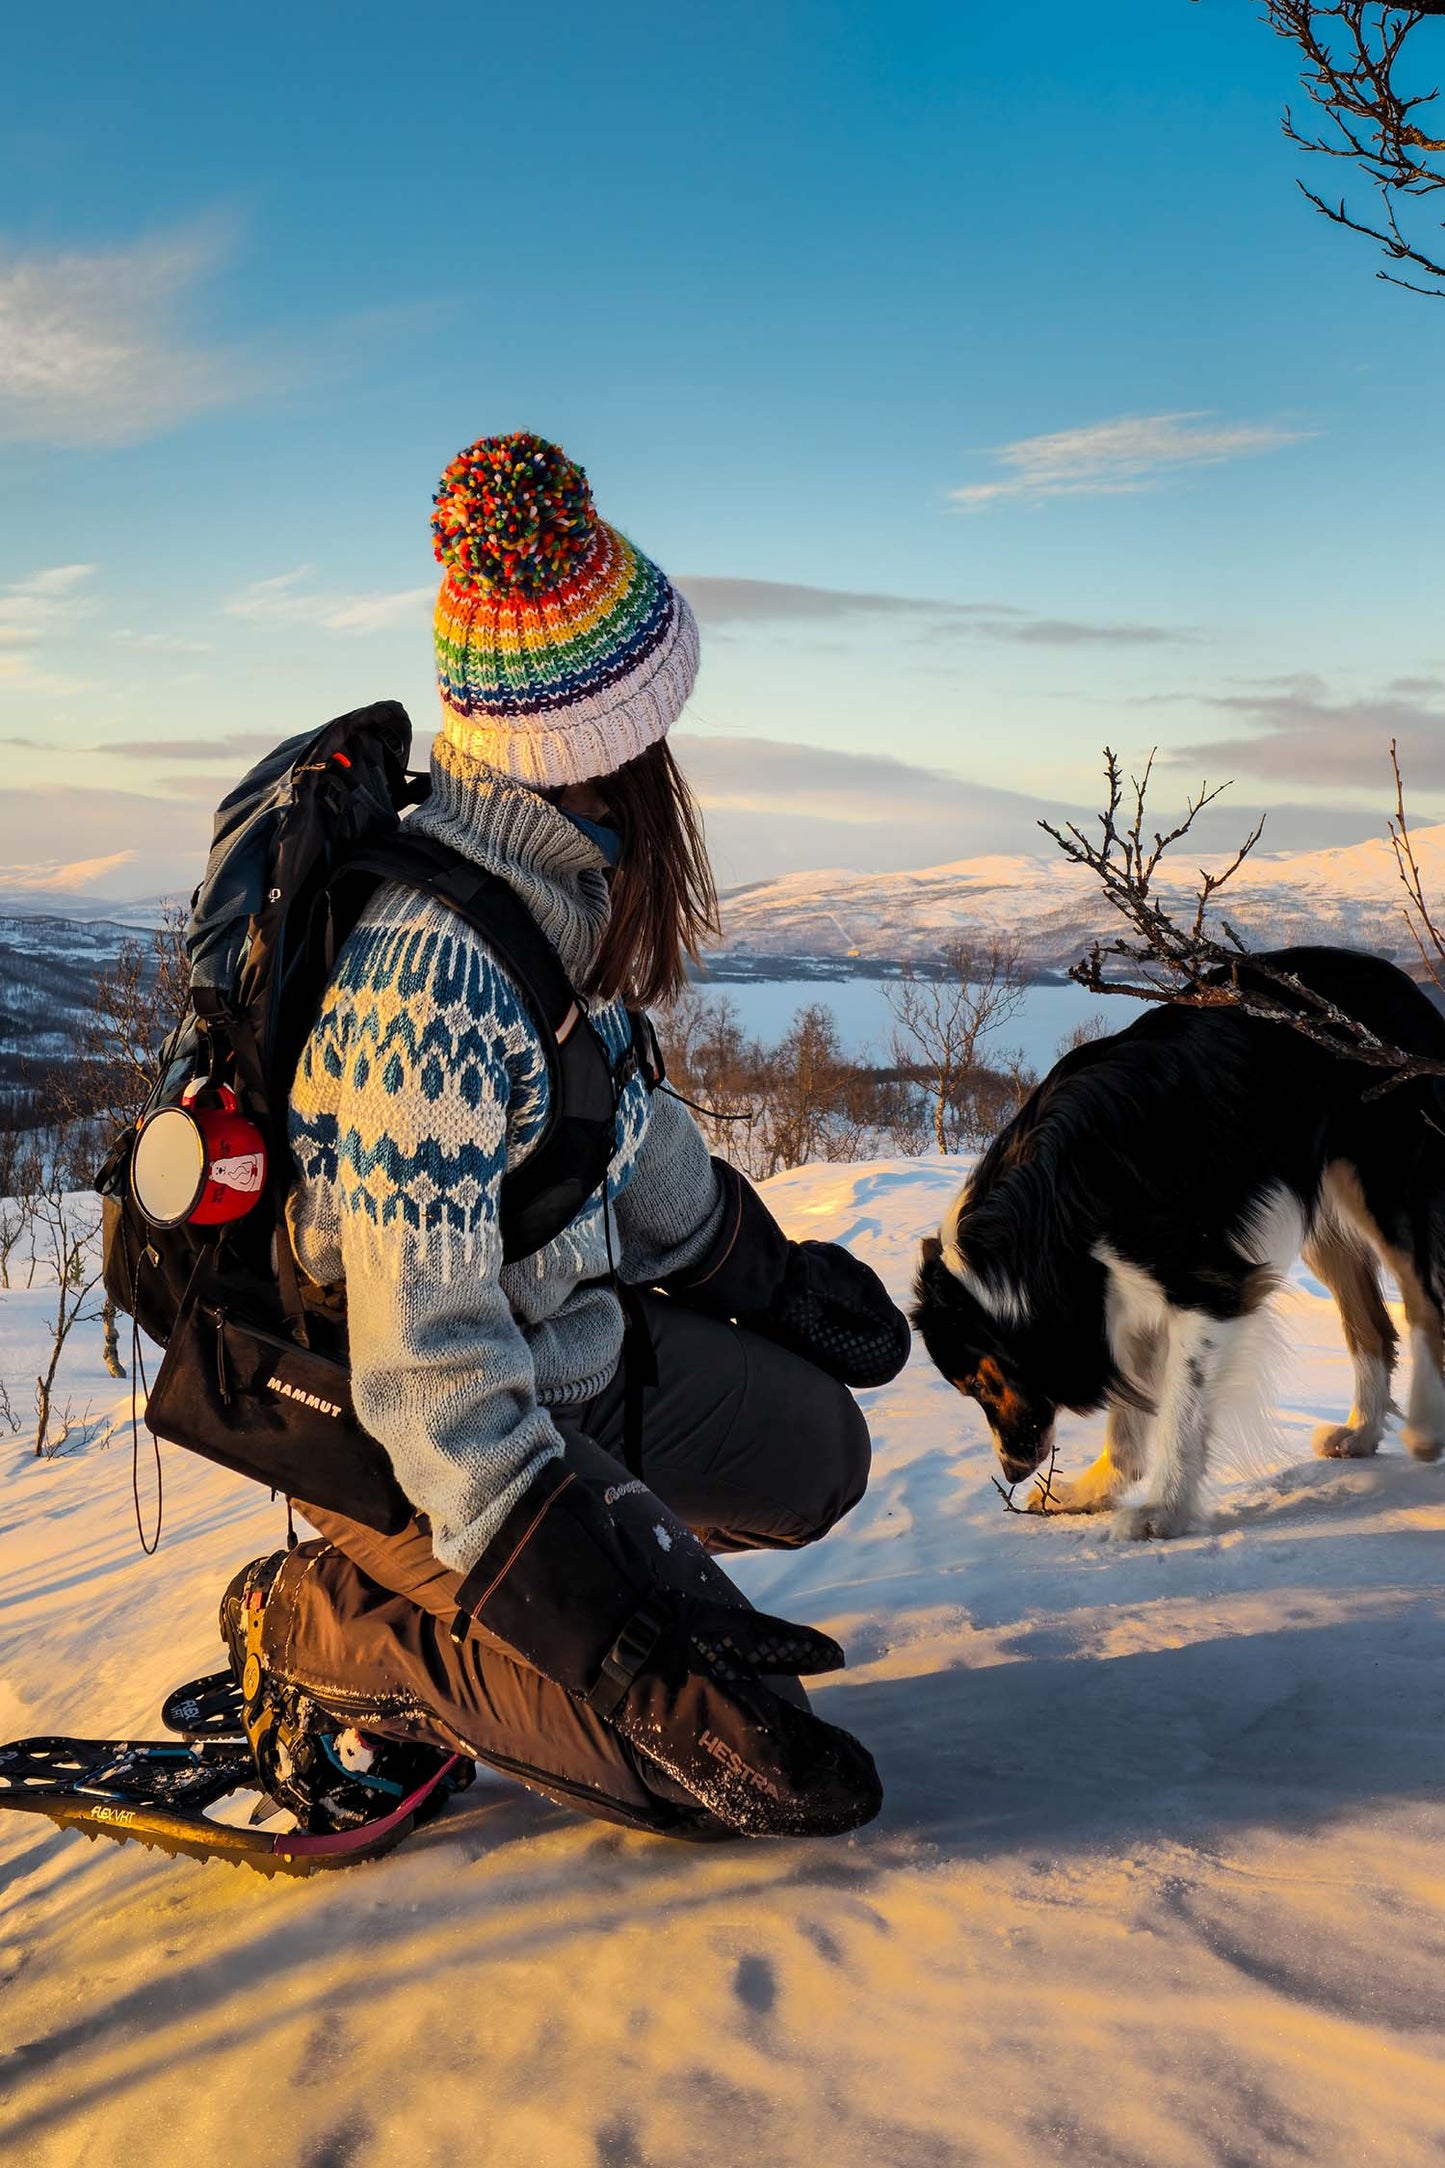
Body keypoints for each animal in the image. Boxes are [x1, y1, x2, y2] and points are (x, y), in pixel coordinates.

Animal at [914, 949, 1445, 1543]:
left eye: (981, 1385)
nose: (1011, 1469)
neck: (1051, 1212)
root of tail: (1406, 985)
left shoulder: (1208, 1286)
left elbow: (1178, 1410)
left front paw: (1161, 1512)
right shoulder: (1120, 1296)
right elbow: (1128, 1412)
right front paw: (1093, 1490)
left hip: (1386, 1185)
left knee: (1425, 1304)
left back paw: (1425, 1430)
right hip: (1318, 1209)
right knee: (1371, 1323)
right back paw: (1360, 1432)